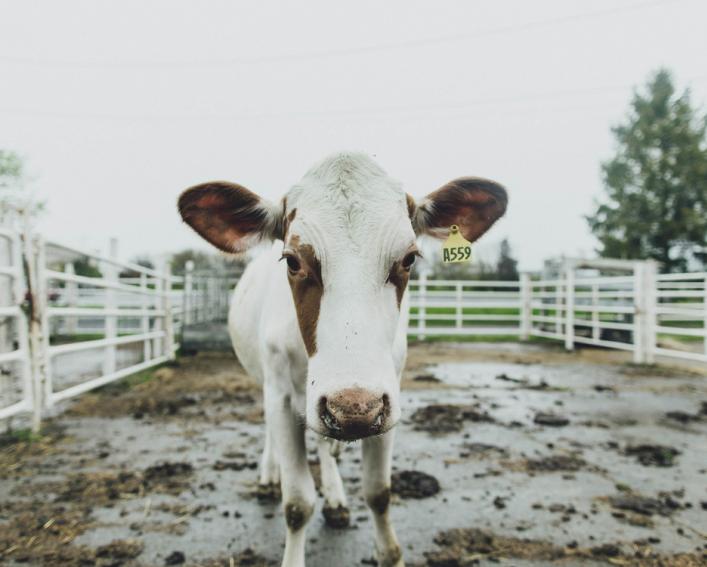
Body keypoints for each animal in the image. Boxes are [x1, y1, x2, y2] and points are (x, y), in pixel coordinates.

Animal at [180, 152, 506, 567]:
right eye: (292, 261)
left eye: (409, 258)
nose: (354, 408)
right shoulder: (281, 396)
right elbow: (297, 504)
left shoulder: (387, 400)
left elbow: (379, 493)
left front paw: (388, 552)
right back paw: (269, 477)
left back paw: (335, 499)